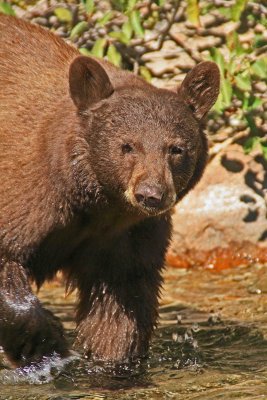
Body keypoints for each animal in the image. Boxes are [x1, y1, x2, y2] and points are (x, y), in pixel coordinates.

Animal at [0, 14, 220, 368]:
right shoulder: (25, 192)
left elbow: (119, 308)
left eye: (176, 149)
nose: (151, 194)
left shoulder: (127, 236)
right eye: (127, 145)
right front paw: (46, 341)